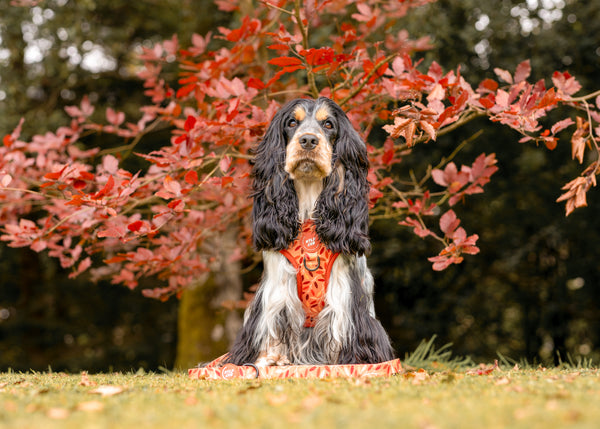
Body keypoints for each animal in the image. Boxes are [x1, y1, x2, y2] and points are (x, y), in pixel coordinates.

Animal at [225, 98, 394, 366]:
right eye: (292, 122)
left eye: (328, 124)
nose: (308, 140)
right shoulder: (277, 287)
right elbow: (272, 323)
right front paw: (270, 360)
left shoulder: (345, 291)